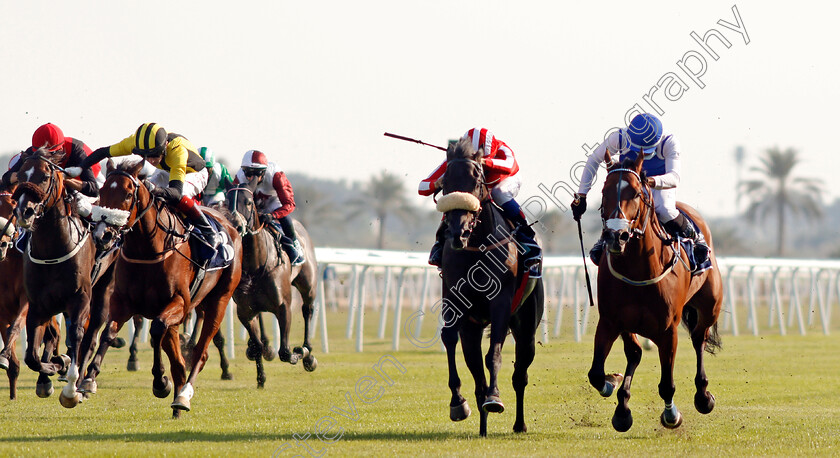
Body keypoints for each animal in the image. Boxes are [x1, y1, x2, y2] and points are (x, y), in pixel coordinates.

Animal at [10, 148, 116, 406]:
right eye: (20, 175)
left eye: (46, 176)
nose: (24, 211)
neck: (52, 249)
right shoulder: (37, 304)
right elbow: (32, 355)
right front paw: (54, 367)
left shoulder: (80, 298)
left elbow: (77, 335)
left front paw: (70, 389)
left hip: (104, 289)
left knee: (91, 334)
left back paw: (84, 383)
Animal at [84, 159, 240, 416]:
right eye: (102, 192)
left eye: (128, 194)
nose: (103, 234)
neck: (147, 250)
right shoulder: (122, 302)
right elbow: (108, 332)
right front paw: (89, 379)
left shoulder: (179, 303)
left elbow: (156, 330)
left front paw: (160, 382)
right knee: (178, 359)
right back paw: (177, 402)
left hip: (219, 301)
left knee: (200, 353)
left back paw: (184, 395)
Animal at [226, 181, 318, 388]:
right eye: (227, 202)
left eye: (248, 202)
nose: (235, 224)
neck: (255, 266)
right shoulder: (245, 311)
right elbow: (258, 345)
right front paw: (261, 377)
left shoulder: (283, 307)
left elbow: (285, 351)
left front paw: (298, 353)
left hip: (308, 285)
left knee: (308, 310)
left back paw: (308, 353)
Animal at [434, 137, 544, 436]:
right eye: (445, 183)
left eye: (476, 181)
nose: (457, 233)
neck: (475, 247)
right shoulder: (453, 298)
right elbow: (449, 339)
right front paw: (457, 403)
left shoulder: (501, 302)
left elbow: (493, 352)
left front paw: (495, 397)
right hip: (472, 328)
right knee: (476, 373)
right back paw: (482, 425)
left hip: (527, 325)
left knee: (520, 374)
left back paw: (518, 423)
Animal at [592, 152, 720, 432]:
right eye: (604, 191)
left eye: (636, 193)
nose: (616, 236)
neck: (638, 269)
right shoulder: (610, 321)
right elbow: (596, 373)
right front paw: (614, 387)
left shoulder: (667, 329)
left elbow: (667, 384)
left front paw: (672, 415)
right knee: (635, 353)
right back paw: (622, 405)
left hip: (710, 307)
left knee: (699, 339)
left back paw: (703, 396)